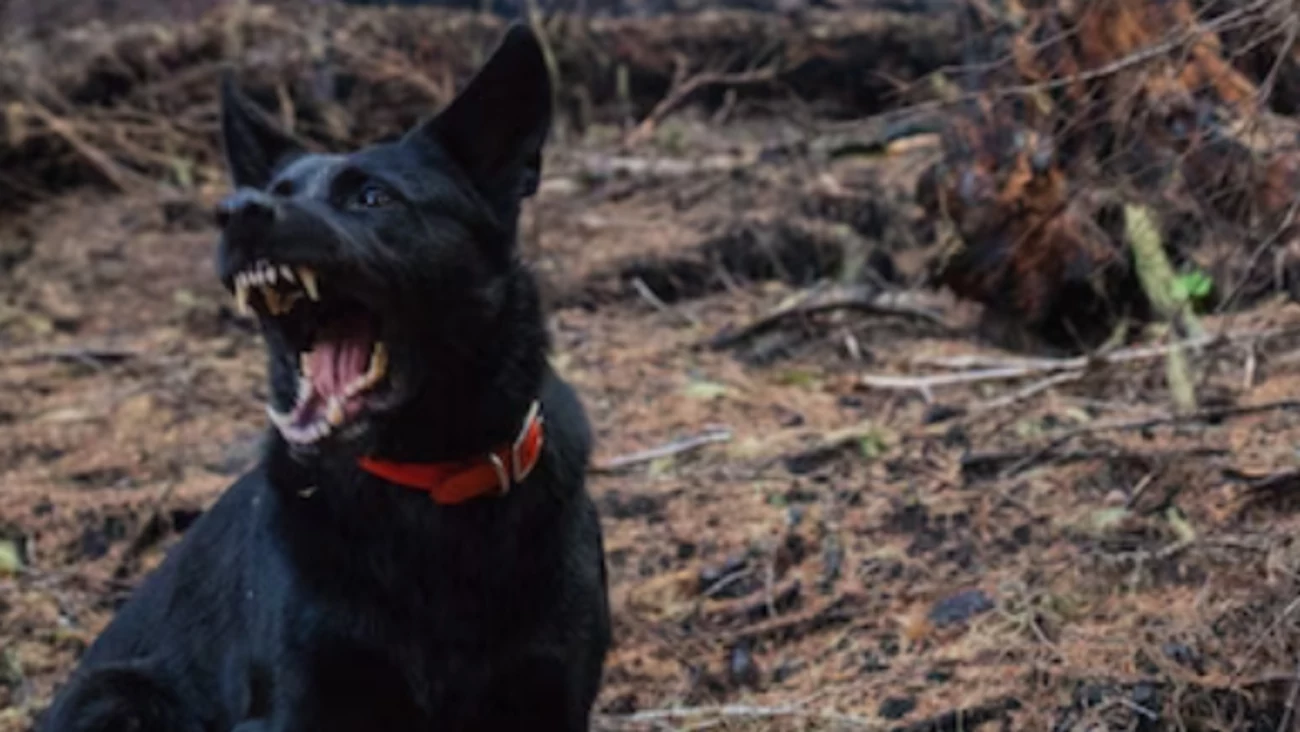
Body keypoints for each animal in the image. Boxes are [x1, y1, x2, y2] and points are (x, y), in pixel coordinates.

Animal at [38, 22, 611, 732]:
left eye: (372, 197)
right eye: (277, 191)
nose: (236, 211)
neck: (428, 486)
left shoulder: (550, 693)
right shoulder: (298, 701)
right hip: (116, 695)